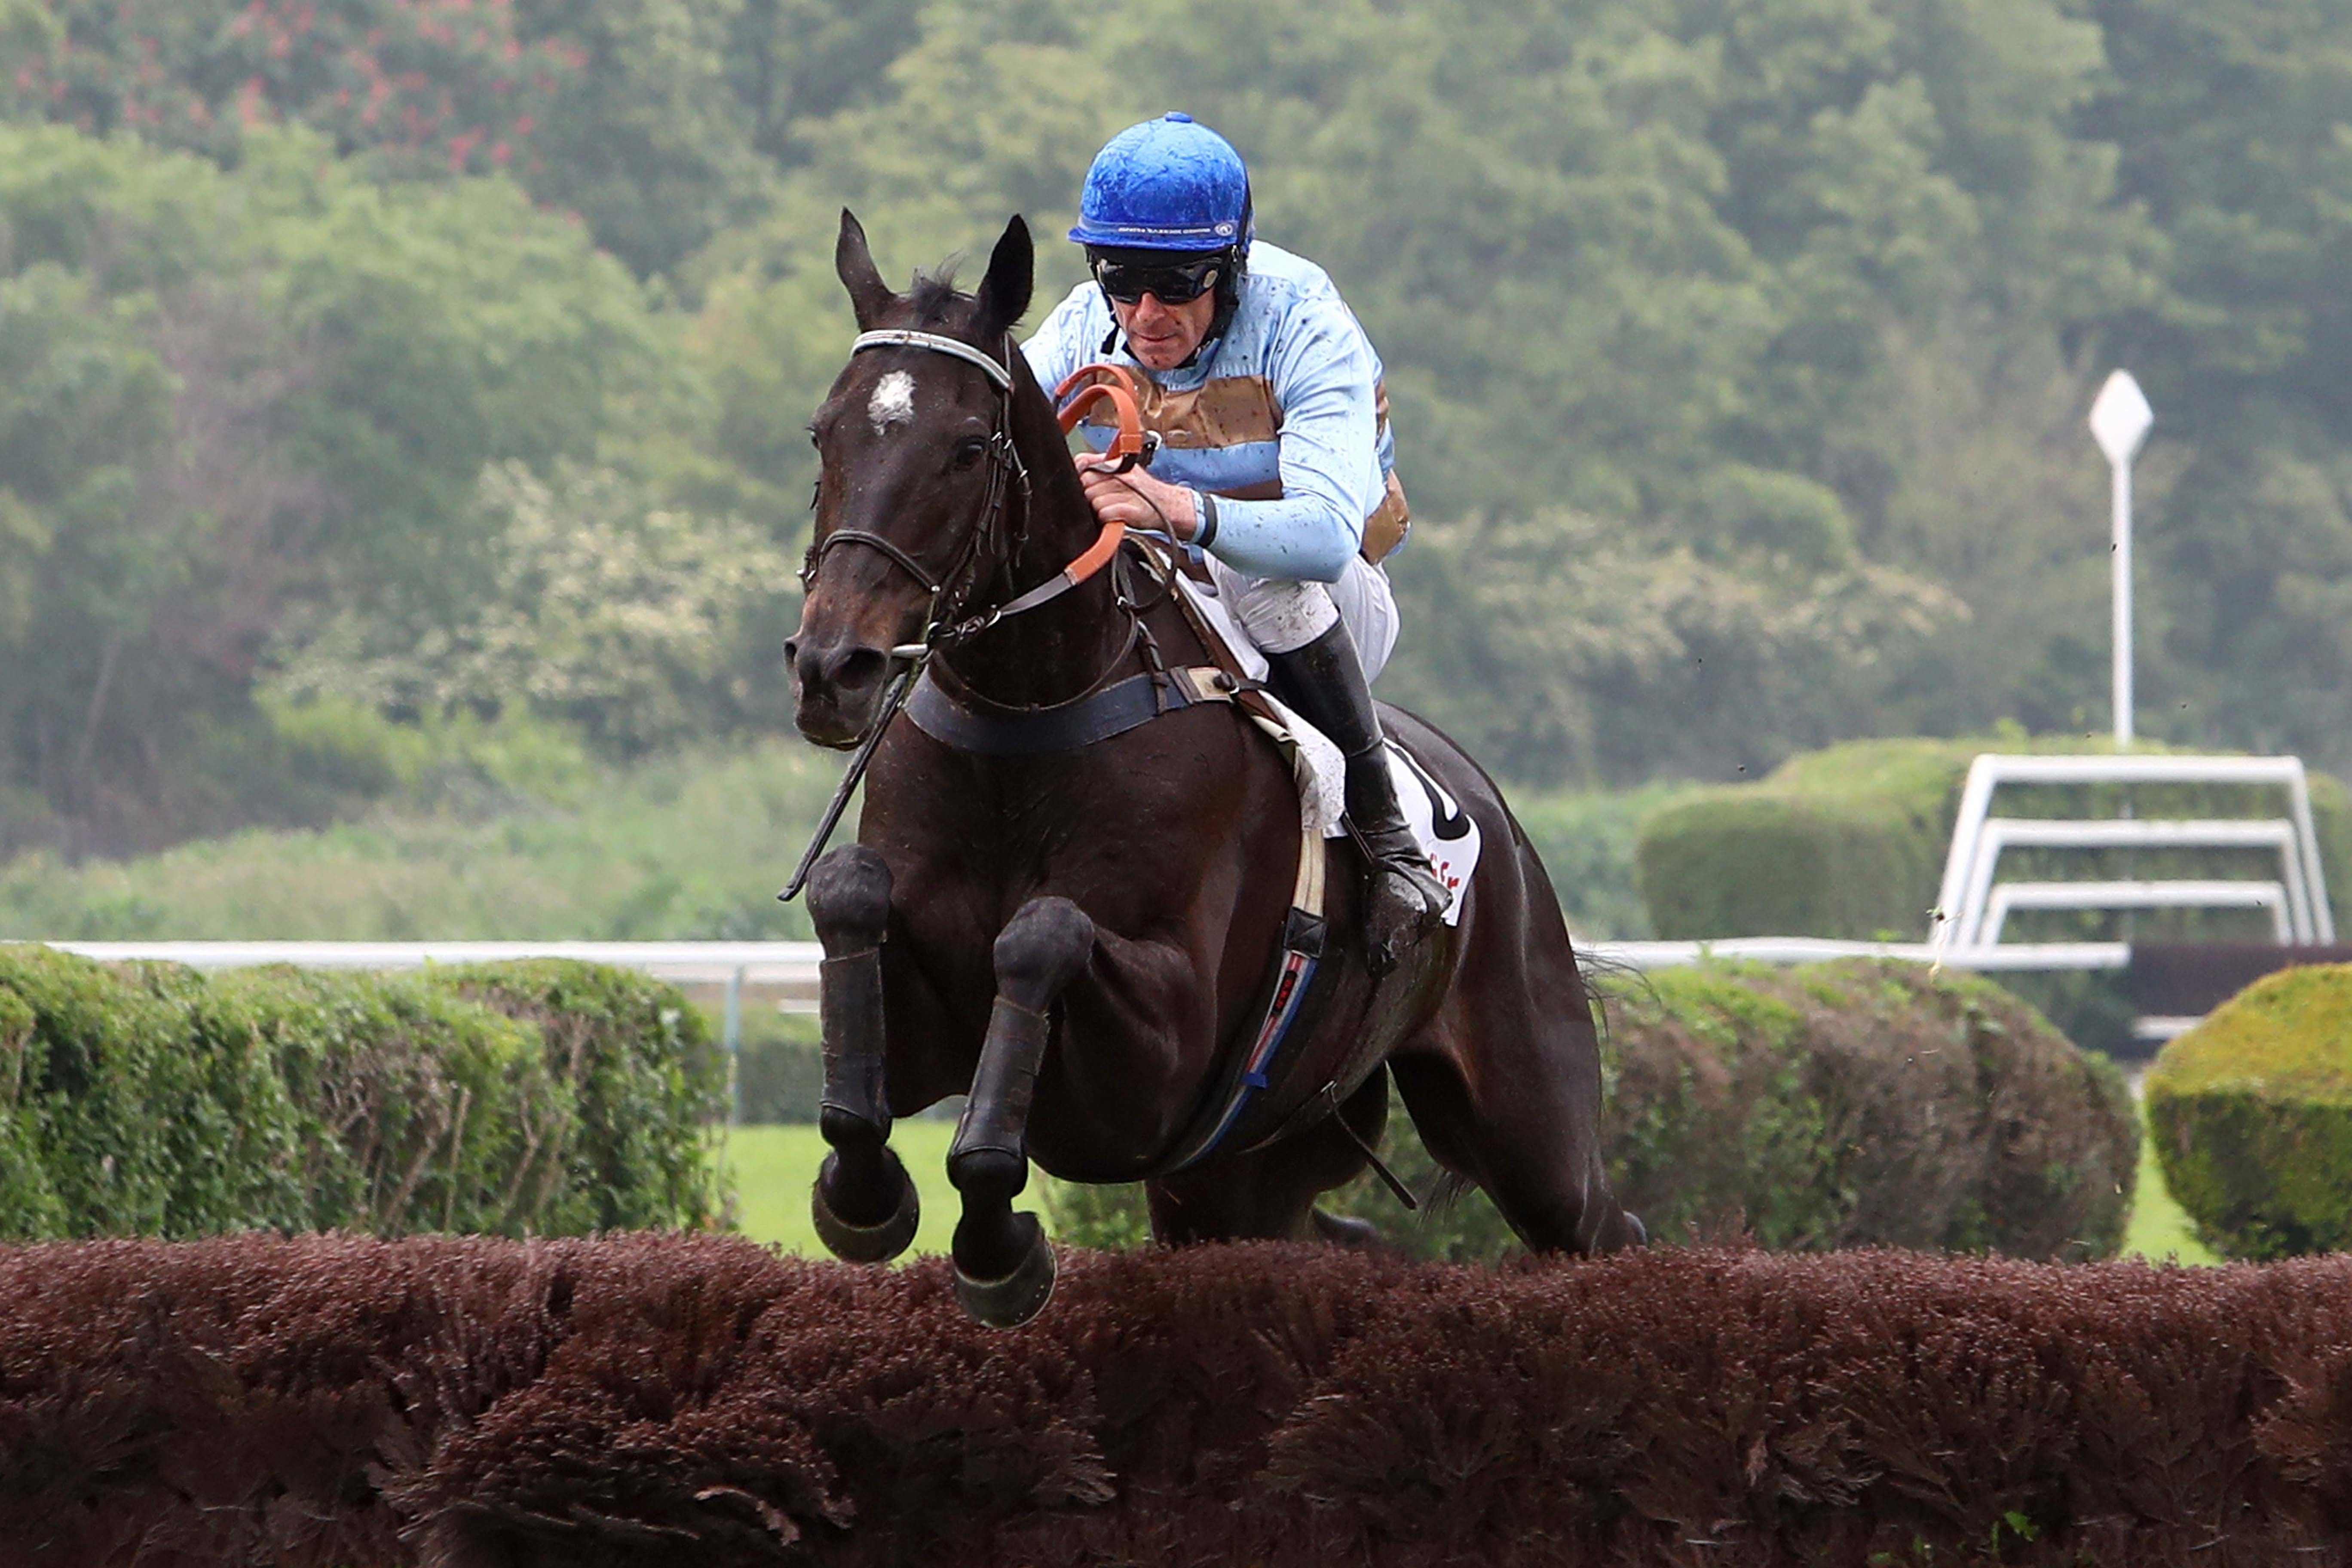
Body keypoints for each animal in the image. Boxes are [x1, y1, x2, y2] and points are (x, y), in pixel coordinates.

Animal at [784, 209, 1642, 1326]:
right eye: (824, 432)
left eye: (968, 449)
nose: (831, 668)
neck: (1032, 716)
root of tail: (1496, 815)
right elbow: (849, 896)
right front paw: (870, 1194)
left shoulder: (1159, 1063)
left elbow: (1042, 934)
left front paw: (994, 1240)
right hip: (1240, 1172)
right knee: (1340, 1233)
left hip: (1530, 1120)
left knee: (1606, 1229)